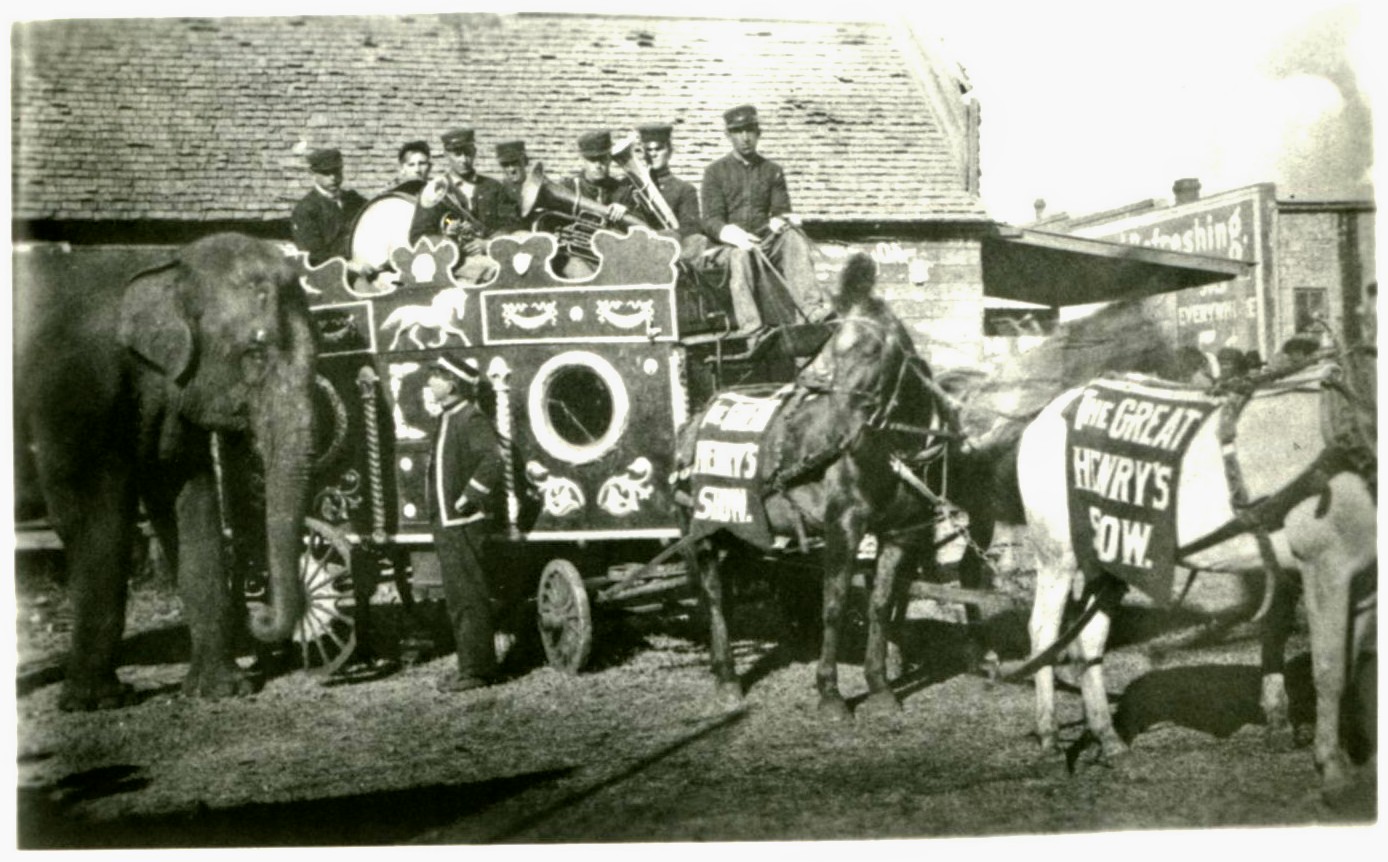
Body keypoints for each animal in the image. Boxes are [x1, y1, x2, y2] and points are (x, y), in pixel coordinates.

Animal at [15, 231, 315, 710]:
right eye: (254, 354)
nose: (260, 614)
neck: (165, 263)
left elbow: (190, 504)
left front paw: (223, 690)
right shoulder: (74, 392)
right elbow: (91, 521)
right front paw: (98, 701)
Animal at [666, 254, 949, 721]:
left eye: (872, 349)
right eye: (835, 347)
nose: (840, 431)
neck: (887, 448)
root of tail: (692, 423)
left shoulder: (900, 534)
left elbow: (881, 606)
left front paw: (880, 687)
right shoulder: (843, 528)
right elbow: (833, 605)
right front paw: (830, 693)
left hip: (743, 527)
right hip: (703, 526)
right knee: (714, 595)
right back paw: (727, 682)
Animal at [1016, 352, 1371, 793]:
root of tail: (1052, 410)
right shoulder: (1325, 564)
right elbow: (1330, 670)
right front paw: (1333, 767)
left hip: (1113, 553)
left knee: (1090, 638)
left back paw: (1111, 742)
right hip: (1057, 555)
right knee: (1044, 632)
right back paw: (1049, 741)